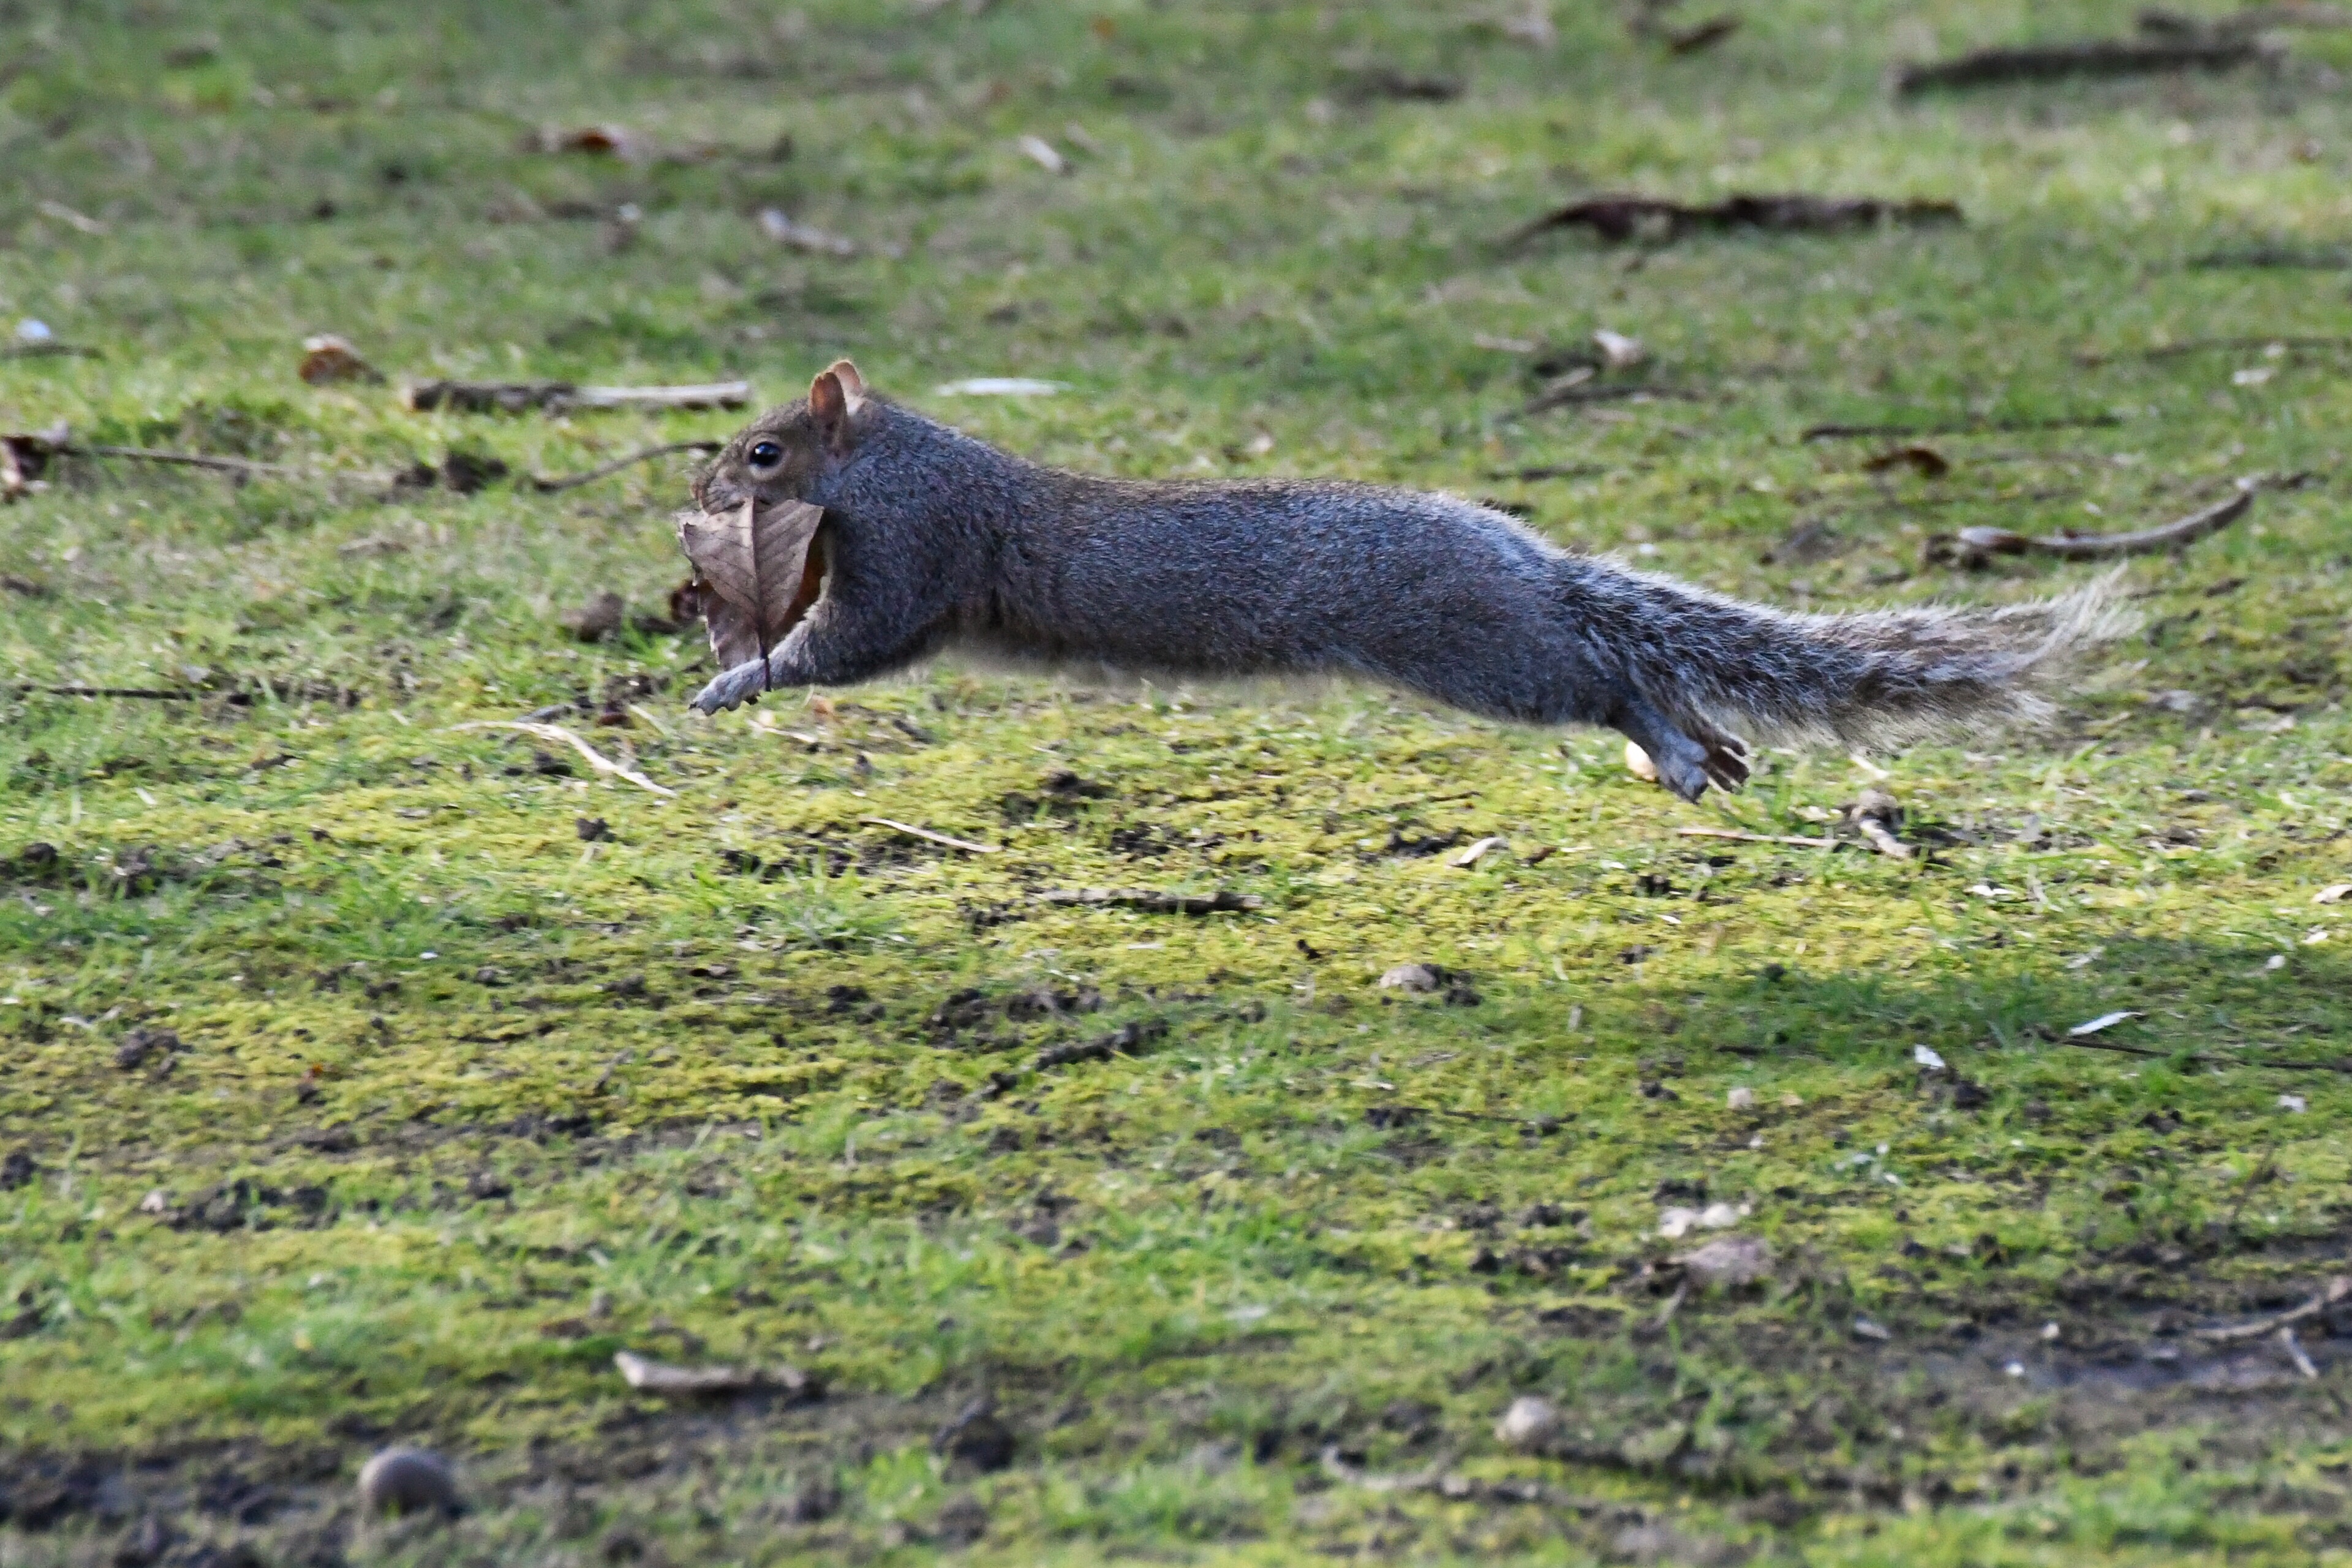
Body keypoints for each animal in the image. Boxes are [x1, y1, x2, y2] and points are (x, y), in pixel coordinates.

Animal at [681, 360, 2123, 802]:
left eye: (765, 452)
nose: (697, 502)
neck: (898, 461)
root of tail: (1522, 554)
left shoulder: (915, 555)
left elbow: (846, 647)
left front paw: (733, 682)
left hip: (1482, 651)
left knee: (1601, 676)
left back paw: (1672, 739)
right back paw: (1706, 745)